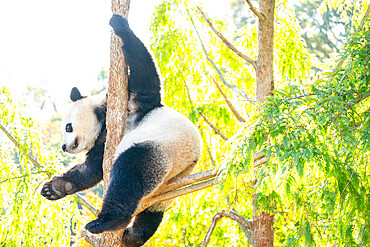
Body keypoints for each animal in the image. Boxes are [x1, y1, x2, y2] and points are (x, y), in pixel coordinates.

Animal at [40, 14, 201, 246]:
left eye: (68, 127)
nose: (63, 146)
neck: (103, 120)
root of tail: (190, 161)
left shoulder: (132, 102)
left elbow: (146, 77)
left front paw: (120, 26)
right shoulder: (104, 141)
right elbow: (92, 168)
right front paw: (55, 188)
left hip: (162, 146)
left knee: (129, 172)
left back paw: (107, 222)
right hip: (168, 186)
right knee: (152, 211)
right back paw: (133, 236)